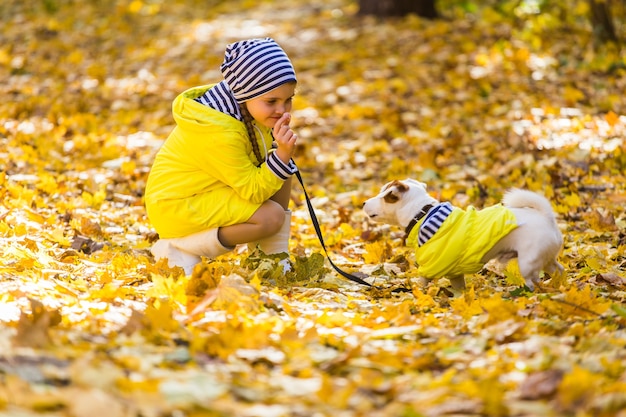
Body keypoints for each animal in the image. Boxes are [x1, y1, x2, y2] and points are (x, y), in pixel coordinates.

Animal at [360, 178, 560, 290]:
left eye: (385, 196)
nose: (363, 202)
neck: (423, 214)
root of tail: (547, 218)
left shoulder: (429, 267)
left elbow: (422, 283)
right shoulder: (455, 274)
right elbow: (458, 289)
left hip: (527, 263)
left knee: (534, 281)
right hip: (548, 260)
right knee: (558, 271)